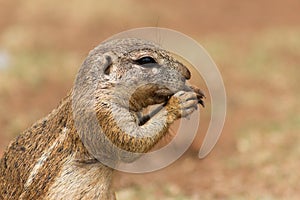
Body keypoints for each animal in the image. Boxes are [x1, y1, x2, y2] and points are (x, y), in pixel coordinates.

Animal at [0, 37, 204, 198]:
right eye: (146, 60)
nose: (187, 72)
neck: (103, 90)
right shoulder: (103, 117)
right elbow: (130, 143)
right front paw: (179, 103)